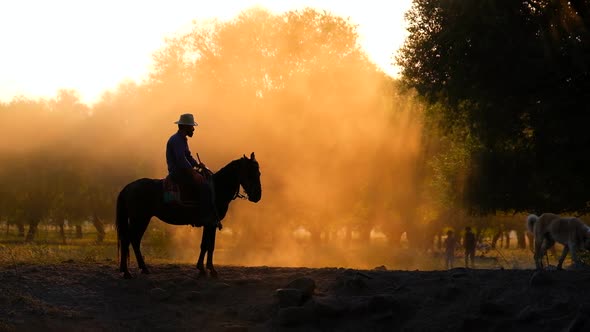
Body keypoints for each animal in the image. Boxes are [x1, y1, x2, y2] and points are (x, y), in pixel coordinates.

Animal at [115, 152, 262, 278]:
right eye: (250, 173)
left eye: (258, 173)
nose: (257, 196)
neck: (216, 189)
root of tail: (127, 187)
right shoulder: (211, 223)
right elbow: (209, 245)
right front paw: (211, 270)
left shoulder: (210, 224)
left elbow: (205, 245)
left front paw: (202, 268)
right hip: (139, 219)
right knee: (128, 240)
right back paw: (127, 272)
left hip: (141, 219)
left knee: (134, 240)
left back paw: (142, 268)